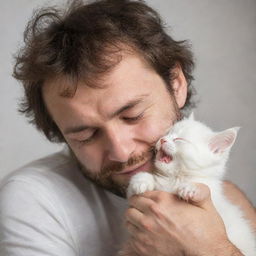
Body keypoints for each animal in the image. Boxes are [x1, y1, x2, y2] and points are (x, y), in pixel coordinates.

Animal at [128, 114, 256, 256]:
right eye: (167, 134)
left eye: (179, 139)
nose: (162, 140)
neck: (175, 178)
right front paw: (141, 180)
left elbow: (202, 186)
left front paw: (191, 188)